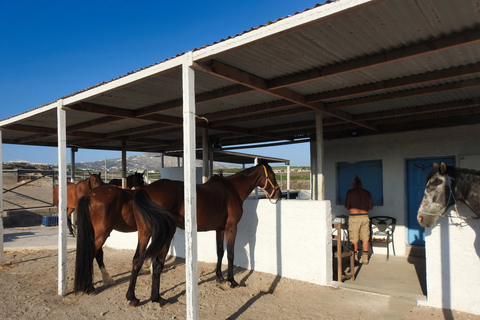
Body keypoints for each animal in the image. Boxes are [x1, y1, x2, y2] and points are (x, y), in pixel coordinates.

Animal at [124, 162, 282, 308]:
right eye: (272, 175)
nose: (278, 194)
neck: (233, 189)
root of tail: (145, 190)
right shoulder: (231, 228)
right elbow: (231, 254)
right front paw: (231, 280)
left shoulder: (220, 229)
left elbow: (220, 252)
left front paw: (219, 277)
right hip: (166, 233)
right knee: (157, 263)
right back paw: (157, 299)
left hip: (145, 233)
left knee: (137, 260)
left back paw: (132, 297)